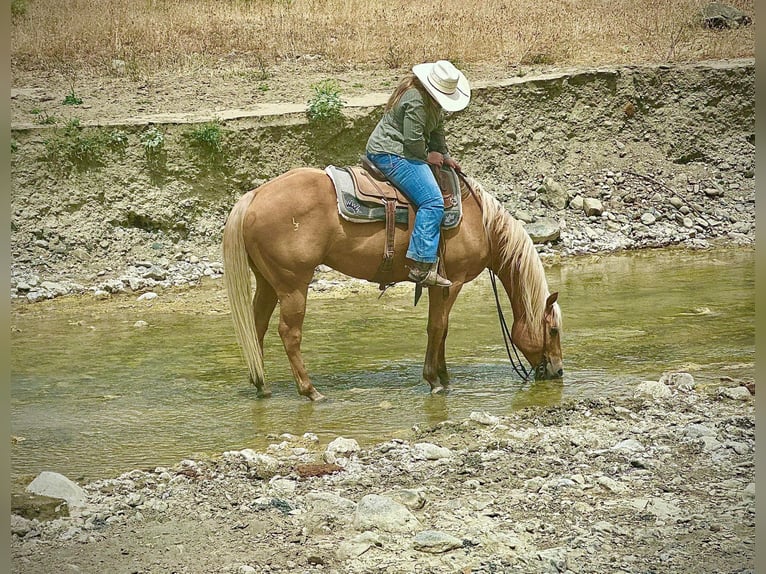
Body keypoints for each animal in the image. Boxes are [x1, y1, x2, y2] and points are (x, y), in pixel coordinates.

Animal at [222, 166, 564, 400]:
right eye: (553, 330)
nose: (558, 371)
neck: (479, 222)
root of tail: (255, 196)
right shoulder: (451, 282)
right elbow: (437, 327)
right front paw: (434, 380)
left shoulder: (441, 285)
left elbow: (442, 328)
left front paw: (444, 375)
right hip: (293, 285)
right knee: (289, 333)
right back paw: (310, 390)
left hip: (267, 283)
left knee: (257, 328)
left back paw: (262, 385)